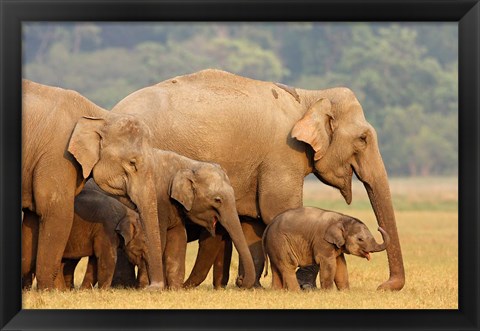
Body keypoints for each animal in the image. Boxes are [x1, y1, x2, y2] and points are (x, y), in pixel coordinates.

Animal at [22, 80, 164, 290]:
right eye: (132, 163)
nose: (153, 288)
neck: (100, 115)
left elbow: (33, 217)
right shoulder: (57, 157)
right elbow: (56, 212)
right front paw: (49, 291)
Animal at [262, 209, 390, 292]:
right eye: (360, 239)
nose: (378, 228)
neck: (341, 218)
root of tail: (269, 226)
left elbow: (340, 264)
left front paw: (345, 292)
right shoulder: (322, 241)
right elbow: (329, 263)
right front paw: (328, 292)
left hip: (274, 245)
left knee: (277, 267)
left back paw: (278, 291)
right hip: (280, 241)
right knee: (288, 265)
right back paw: (296, 292)